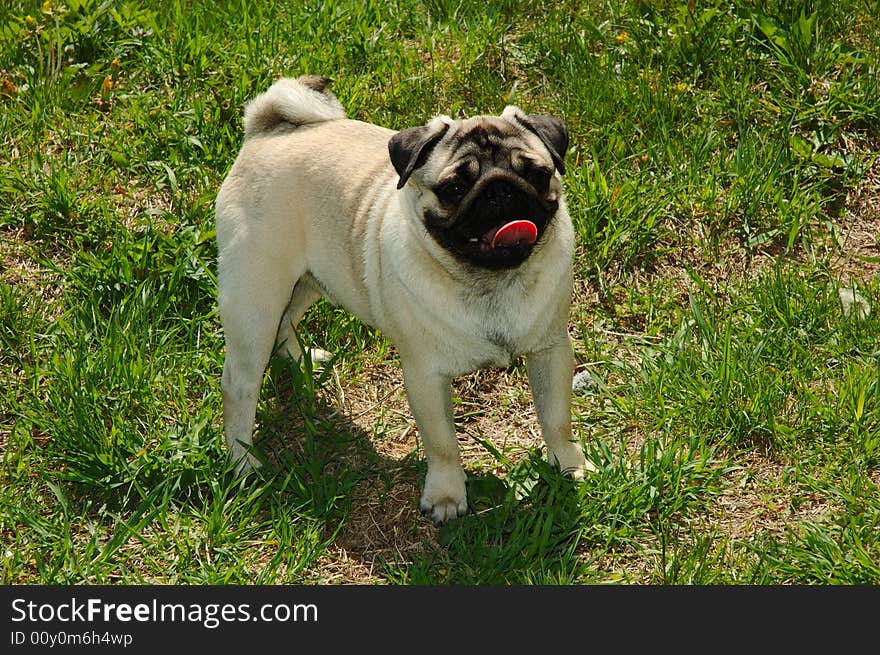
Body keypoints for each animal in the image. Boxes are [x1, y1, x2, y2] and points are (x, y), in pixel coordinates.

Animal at [214, 75, 588, 528]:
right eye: (454, 188)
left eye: (536, 173)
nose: (500, 190)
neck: (491, 281)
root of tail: (264, 130)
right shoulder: (425, 377)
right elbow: (442, 443)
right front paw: (447, 496)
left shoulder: (551, 350)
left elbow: (556, 417)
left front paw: (568, 465)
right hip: (257, 296)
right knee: (239, 384)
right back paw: (244, 463)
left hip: (307, 280)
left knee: (286, 321)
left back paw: (300, 358)